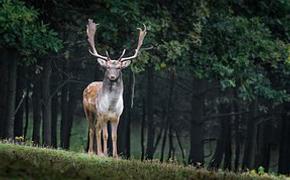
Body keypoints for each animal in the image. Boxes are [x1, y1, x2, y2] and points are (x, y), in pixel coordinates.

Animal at [83, 19, 147, 158]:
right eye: (107, 67)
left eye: (119, 68)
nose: (112, 76)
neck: (111, 106)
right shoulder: (103, 114)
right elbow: (105, 135)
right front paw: (103, 154)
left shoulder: (117, 117)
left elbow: (114, 136)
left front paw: (115, 156)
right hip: (89, 111)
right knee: (92, 129)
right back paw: (92, 152)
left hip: (99, 116)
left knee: (97, 128)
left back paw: (98, 152)